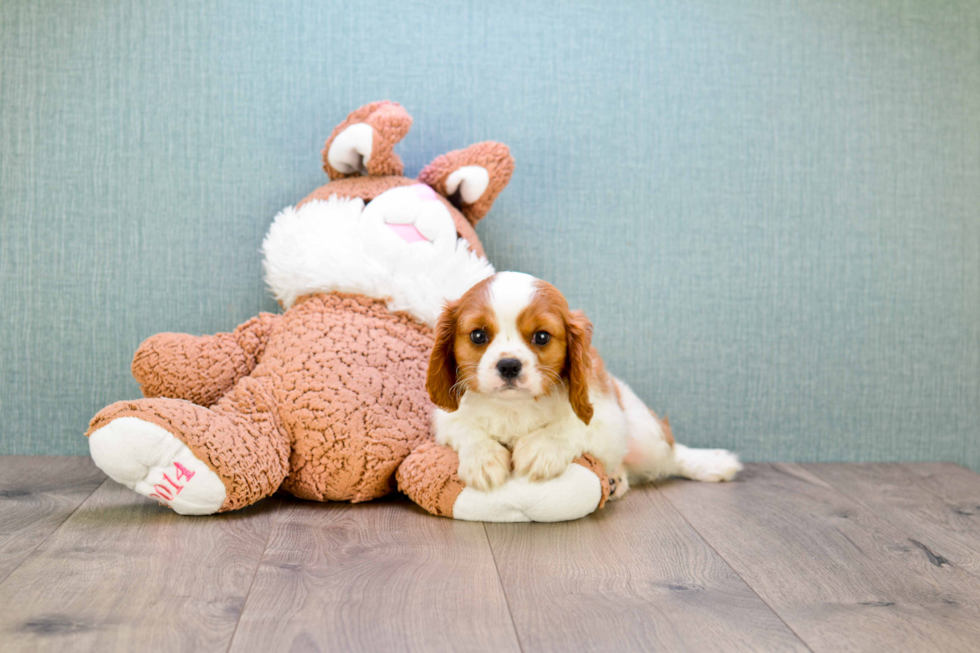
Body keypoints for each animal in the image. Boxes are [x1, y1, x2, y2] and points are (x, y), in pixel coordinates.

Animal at [424, 270, 740, 494]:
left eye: (541, 336)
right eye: (478, 335)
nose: (509, 365)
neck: (516, 406)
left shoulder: (608, 415)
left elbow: (575, 426)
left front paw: (542, 448)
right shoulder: (447, 419)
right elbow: (466, 428)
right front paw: (483, 459)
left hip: (645, 436)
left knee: (672, 455)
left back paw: (712, 463)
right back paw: (615, 481)